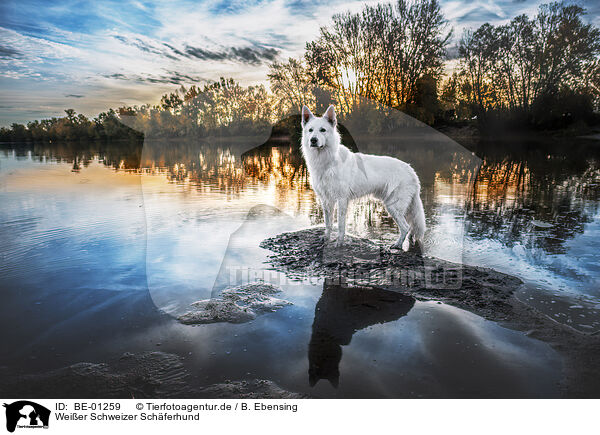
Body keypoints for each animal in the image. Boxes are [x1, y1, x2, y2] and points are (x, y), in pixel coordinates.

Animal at [302, 104, 424, 250]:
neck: (327, 161)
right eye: (310, 130)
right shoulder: (326, 200)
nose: (313, 140)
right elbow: (328, 223)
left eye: (323, 130)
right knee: (411, 227)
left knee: (405, 227)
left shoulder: (342, 200)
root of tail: (411, 170)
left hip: (394, 206)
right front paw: (326, 238)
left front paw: (339, 243)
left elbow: (341, 225)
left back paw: (397, 245)